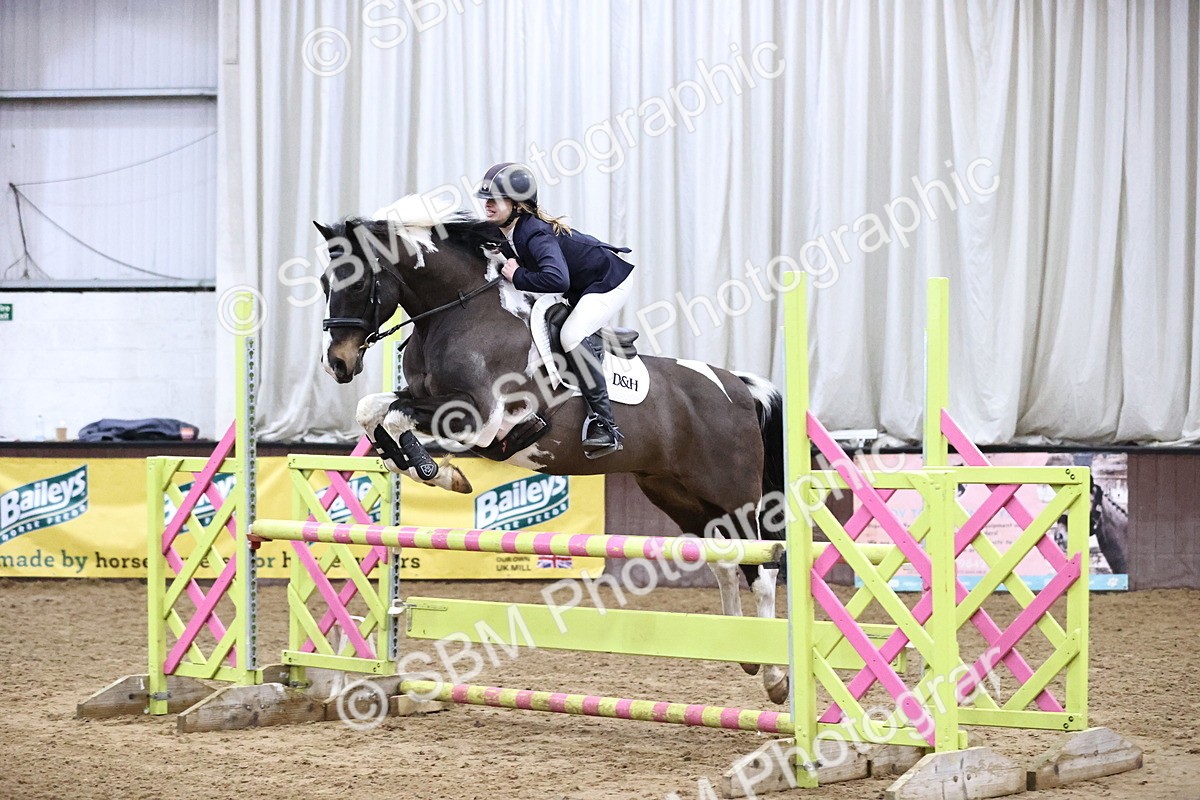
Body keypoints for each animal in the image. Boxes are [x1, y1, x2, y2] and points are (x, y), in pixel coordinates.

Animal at [314, 198, 789, 704]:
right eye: (325, 282)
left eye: (357, 282)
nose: (337, 364)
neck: (459, 312)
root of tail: (739, 386)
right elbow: (373, 409)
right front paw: (423, 467)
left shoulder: (480, 418)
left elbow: (395, 415)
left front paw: (430, 469)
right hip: (678, 495)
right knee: (727, 562)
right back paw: (743, 647)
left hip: (734, 496)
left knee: (762, 569)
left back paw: (775, 675)